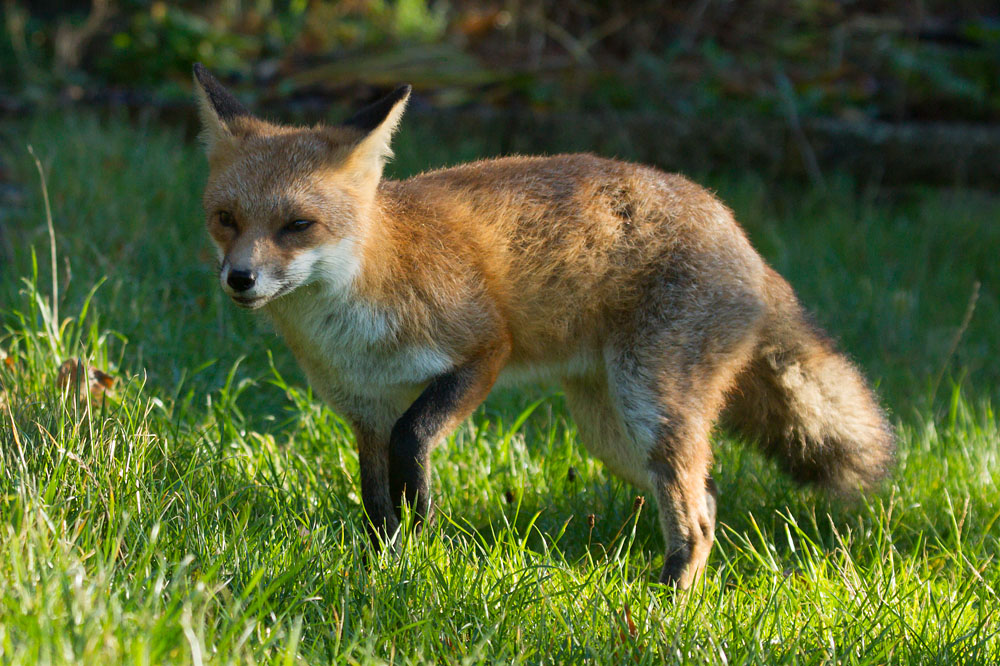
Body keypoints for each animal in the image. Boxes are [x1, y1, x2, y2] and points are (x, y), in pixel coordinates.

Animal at [193, 63, 894, 589]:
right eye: (226, 219)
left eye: (297, 226)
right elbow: (375, 499)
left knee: (695, 517)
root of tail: (743, 237)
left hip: (650, 407)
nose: (239, 279)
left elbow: (412, 447)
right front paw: (383, 564)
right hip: (613, 433)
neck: (352, 320)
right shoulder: (364, 408)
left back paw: (665, 599)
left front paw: (418, 549)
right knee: (711, 496)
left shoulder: (481, 352)